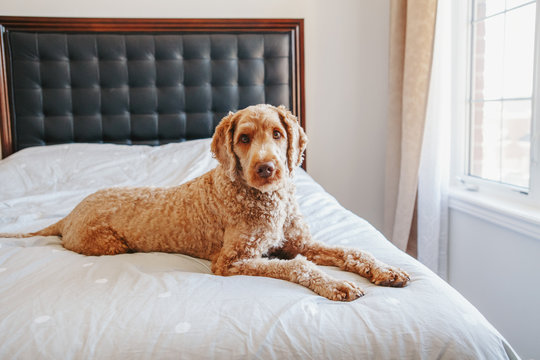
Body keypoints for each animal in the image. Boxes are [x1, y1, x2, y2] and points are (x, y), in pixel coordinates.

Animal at [2, 104, 410, 300]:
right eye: (244, 138)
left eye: (277, 134)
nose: (266, 168)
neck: (265, 200)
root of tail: (67, 215)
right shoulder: (231, 262)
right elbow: (296, 267)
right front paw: (334, 285)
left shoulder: (300, 242)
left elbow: (353, 251)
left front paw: (385, 270)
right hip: (107, 244)